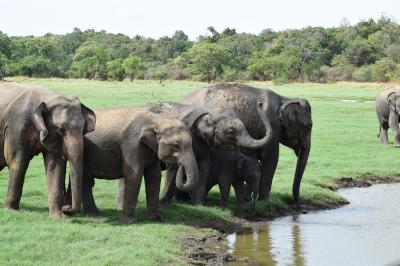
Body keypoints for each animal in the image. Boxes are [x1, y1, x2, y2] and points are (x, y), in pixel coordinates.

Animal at [0, 83, 95, 218]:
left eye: (83, 129)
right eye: (60, 128)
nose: (67, 208)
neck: (48, 98)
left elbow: (54, 166)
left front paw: (58, 217)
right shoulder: (16, 126)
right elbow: (17, 162)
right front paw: (11, 210)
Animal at [115, 100, 272, 206]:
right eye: (231, 131)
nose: (260, 103)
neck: (208, 112)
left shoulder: (204, 145)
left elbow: (203, 169)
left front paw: (199, 204)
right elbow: (173, 169)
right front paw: (164, 203)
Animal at [183, 83, 314, 206]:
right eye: (309, 126)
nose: (297, 205)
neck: (285, 99)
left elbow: (255, 160)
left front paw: (247, 197)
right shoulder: (273, 125)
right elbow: (270, 159)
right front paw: (265, 202)